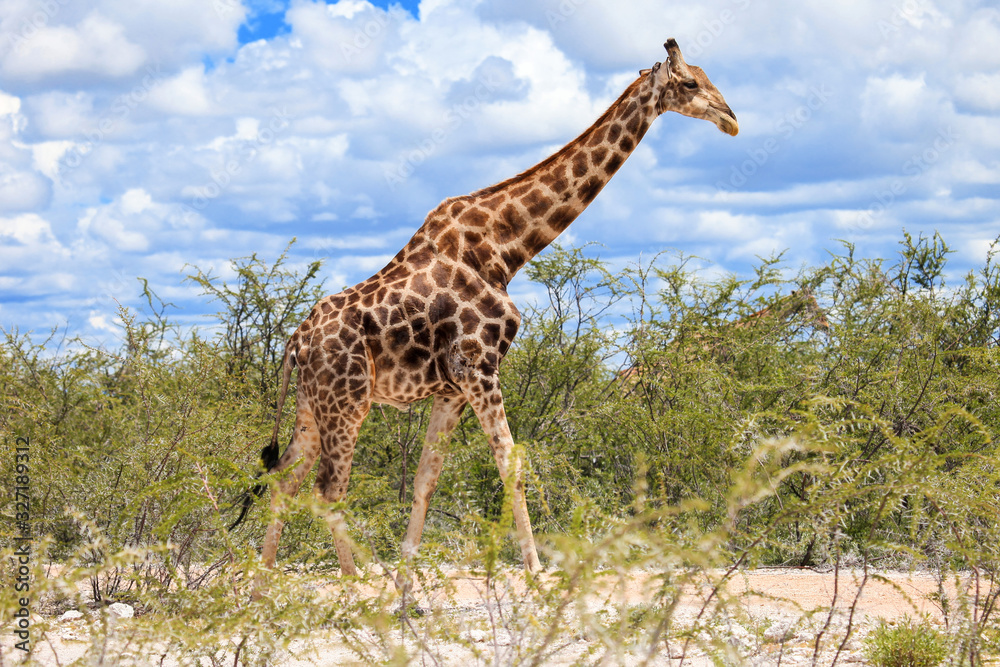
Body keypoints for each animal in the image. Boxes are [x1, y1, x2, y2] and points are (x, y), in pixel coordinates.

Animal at [234, 39, 738, 579]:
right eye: (691, 82)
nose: (731, 119)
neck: (506, 248)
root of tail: (295, 343)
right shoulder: (479, 368)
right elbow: (511, 464)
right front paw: (535, 572)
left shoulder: (451, 387)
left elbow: (426, 480)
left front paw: (407, 578)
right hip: (347, 402)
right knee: (327, 490)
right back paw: (357, 581)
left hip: (313, 407)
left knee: (283, 481)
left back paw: (264, 583)